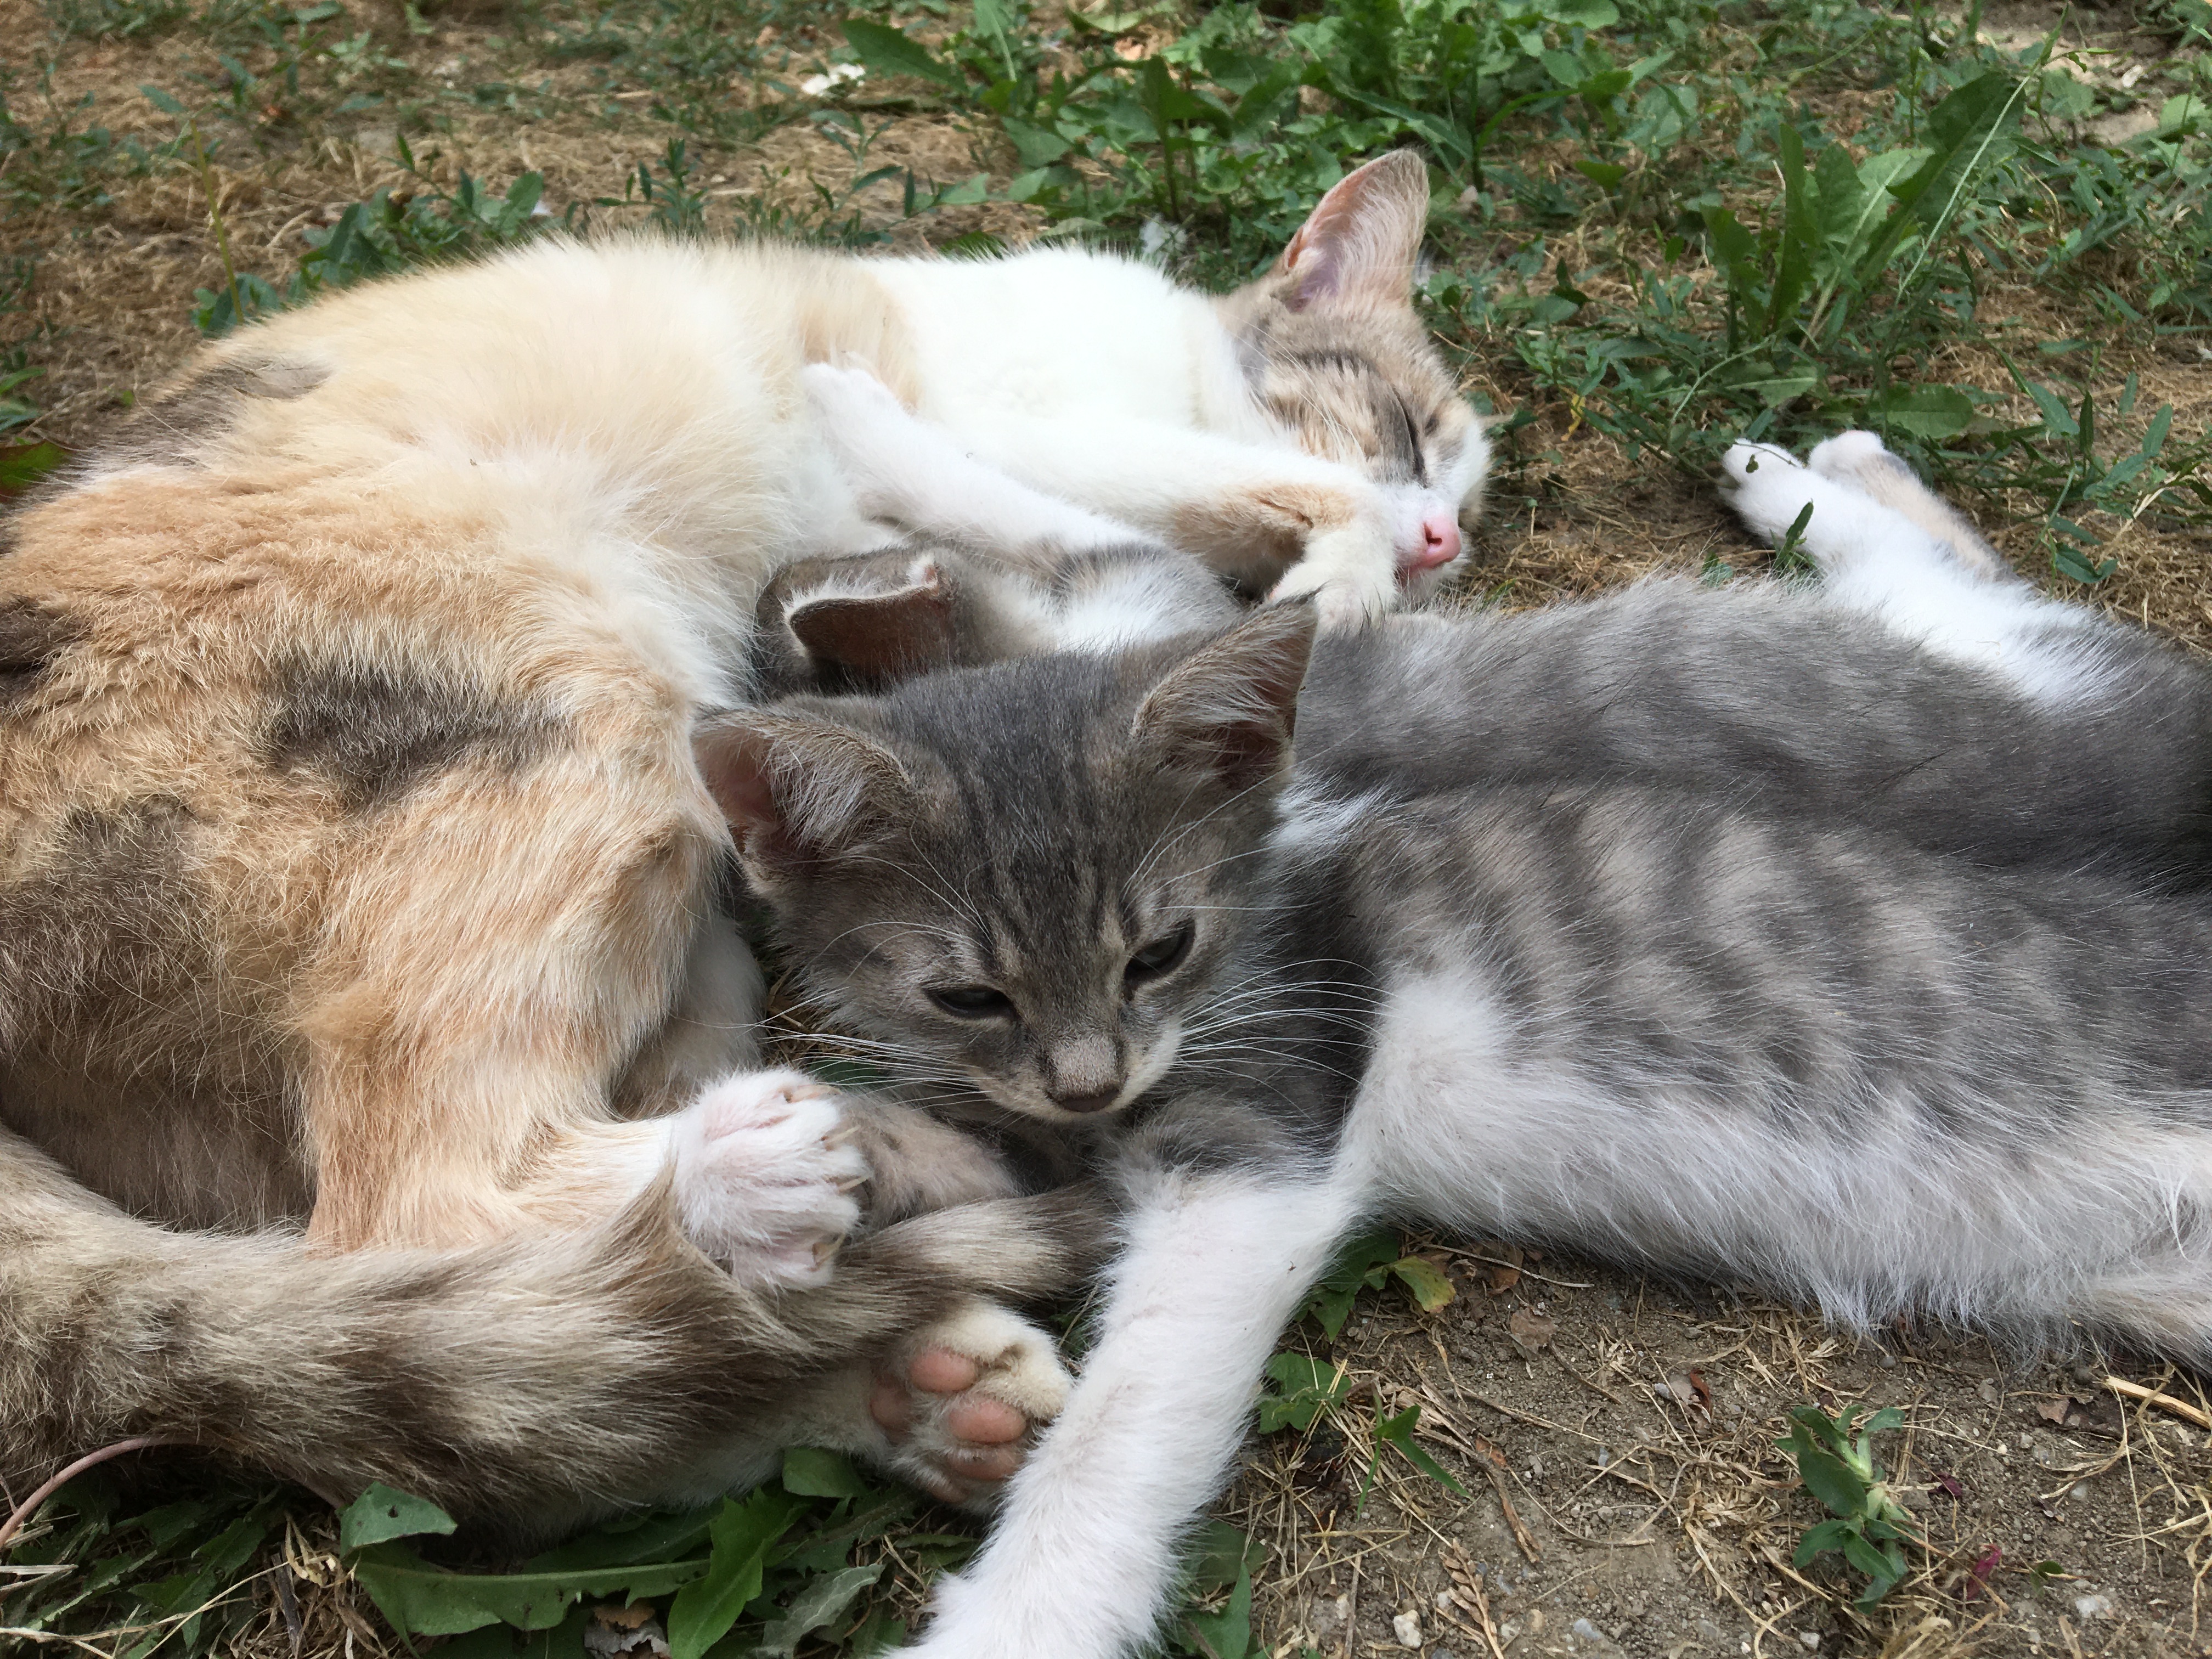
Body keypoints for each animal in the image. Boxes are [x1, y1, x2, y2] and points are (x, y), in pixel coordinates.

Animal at [697, 435, 2212, 1659]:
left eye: (1158, 951)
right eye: (968, 999)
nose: (1092, 1077)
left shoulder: (1263, 1129)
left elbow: (1125, 1421)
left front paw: (1020, 1620)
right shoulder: (1077, 1121)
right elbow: (951, 1147)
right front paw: (752, 1165)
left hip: (2022, 669)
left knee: (2002, 592)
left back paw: (1815, 470)